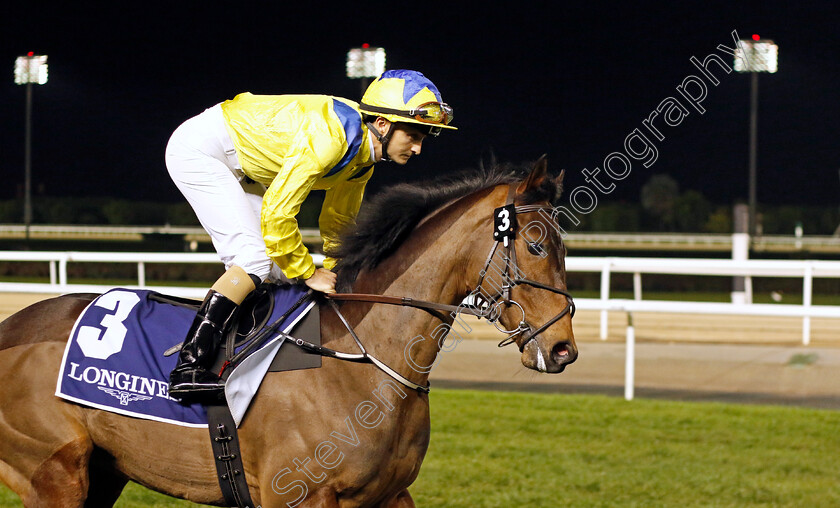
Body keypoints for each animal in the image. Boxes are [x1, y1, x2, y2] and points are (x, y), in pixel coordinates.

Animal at [0, 157, 576, 506]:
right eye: (535, 244)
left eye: (564, 245)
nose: (563, 348)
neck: (362, 359)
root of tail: (11, 327)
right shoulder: (295, 493)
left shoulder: (390, 493)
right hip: (54, 474)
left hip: (104, 472)